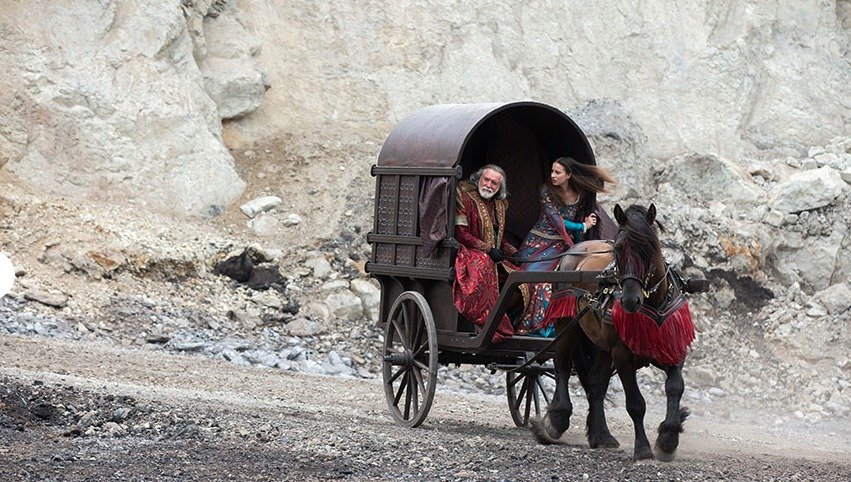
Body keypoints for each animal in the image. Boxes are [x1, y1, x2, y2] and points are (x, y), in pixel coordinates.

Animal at [532, 202, 700, 460]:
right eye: (619, 248)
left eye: (650, 246)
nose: (630, 299)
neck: (653, 302)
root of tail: (574, 250)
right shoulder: (622, 355)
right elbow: (636, 404)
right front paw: (643, 448)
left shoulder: (672, 346)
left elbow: (675, 388)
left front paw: (668, 439)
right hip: (567, 326)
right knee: (562, 367)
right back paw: (557, 421)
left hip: (602, 344)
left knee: (596, 383)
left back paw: (601, 435)